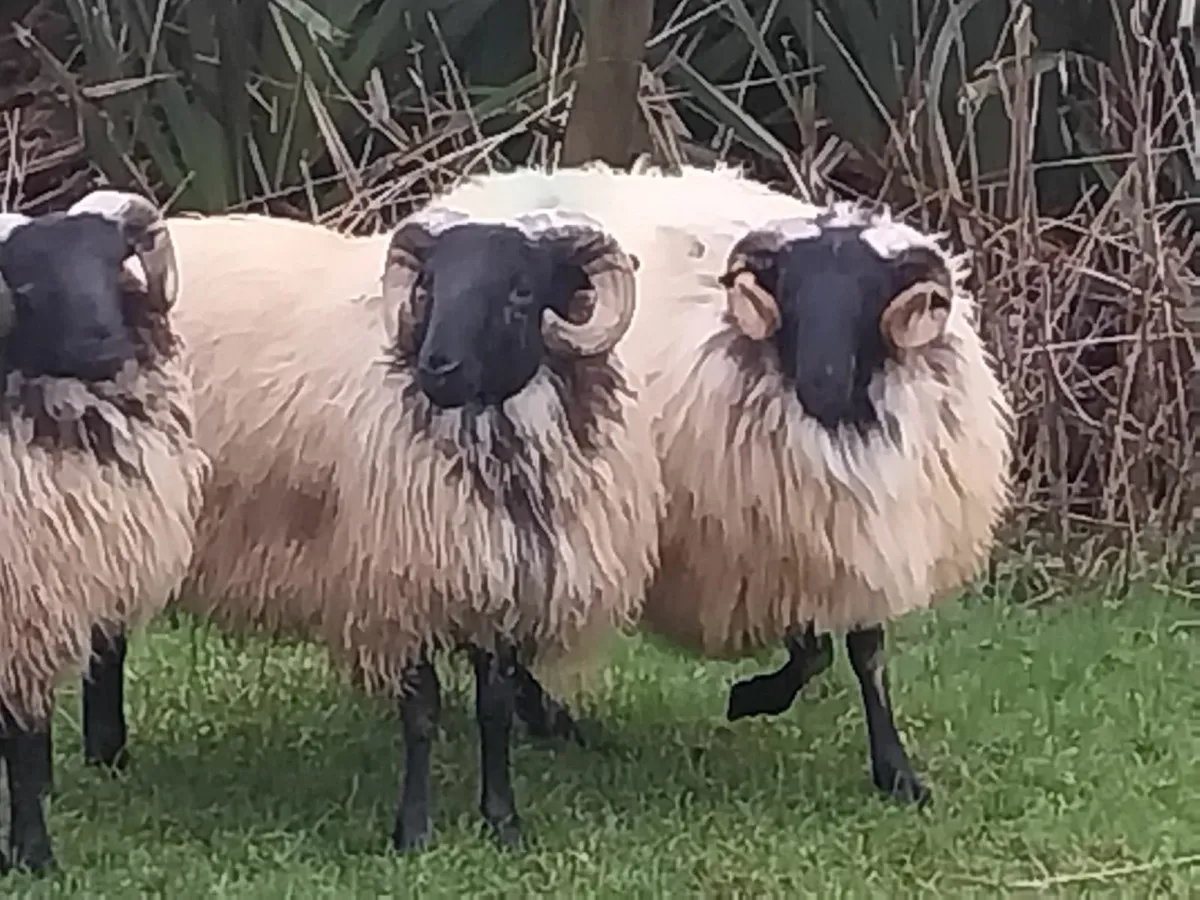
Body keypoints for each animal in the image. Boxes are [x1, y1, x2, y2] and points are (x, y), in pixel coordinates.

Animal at [0, 190, 209, 873]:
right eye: (25, 283)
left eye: (112, 260)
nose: (103, 345)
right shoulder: (20, 608)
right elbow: (19, 738)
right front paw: (34, 857)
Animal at [80, 204, 663, 850]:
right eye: (429, 285)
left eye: (521, 291)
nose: (438, 367)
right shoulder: (397, 589)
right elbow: (422, 713)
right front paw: (413, 831)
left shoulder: (497, 579)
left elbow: (495, 709)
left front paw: (503, 822)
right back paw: (106, 754)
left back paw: (107, 754)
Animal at [427, 162, 1013, 805]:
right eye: (790, 294)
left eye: (871, 297)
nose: (823, 382)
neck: (841, 424)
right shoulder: (775, 547)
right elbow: (814, 653)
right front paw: (754, 697)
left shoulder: (853, 535)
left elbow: (863, 655)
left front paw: (896, 771)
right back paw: (546, 715)